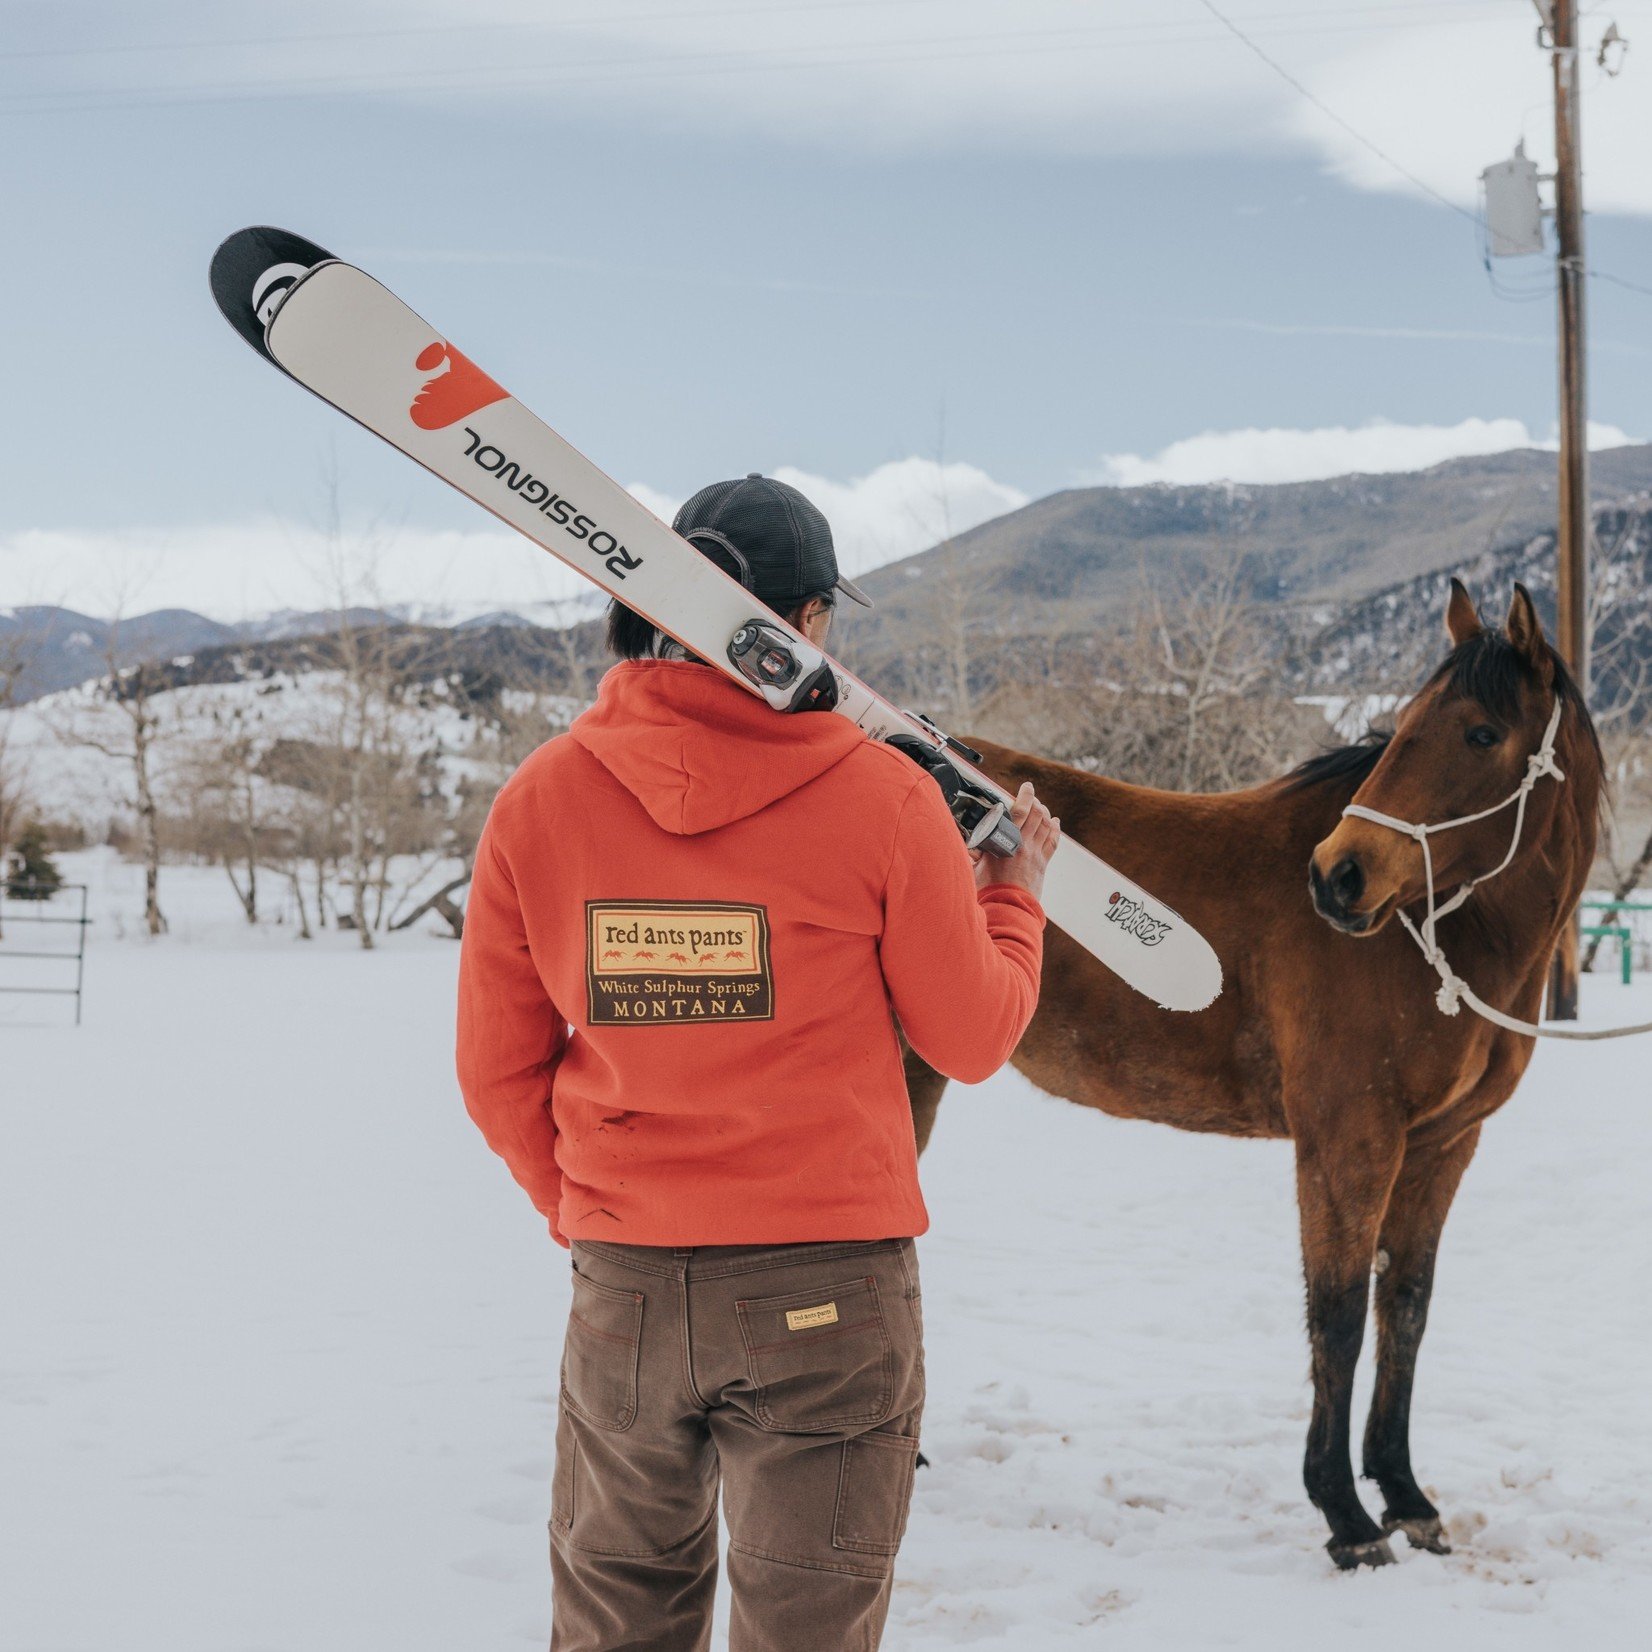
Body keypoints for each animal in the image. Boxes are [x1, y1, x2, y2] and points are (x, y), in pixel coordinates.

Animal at [911, 588, 1605, 1566]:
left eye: (1481, 733)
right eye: (1406, 727)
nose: (1338, 876)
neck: (1440, 941)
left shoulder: (1442, 1149)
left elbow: (1406, 1309)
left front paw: (1405, 1495)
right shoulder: (1348, 1143)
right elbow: (1339, 1316)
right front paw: (1346, 1517)